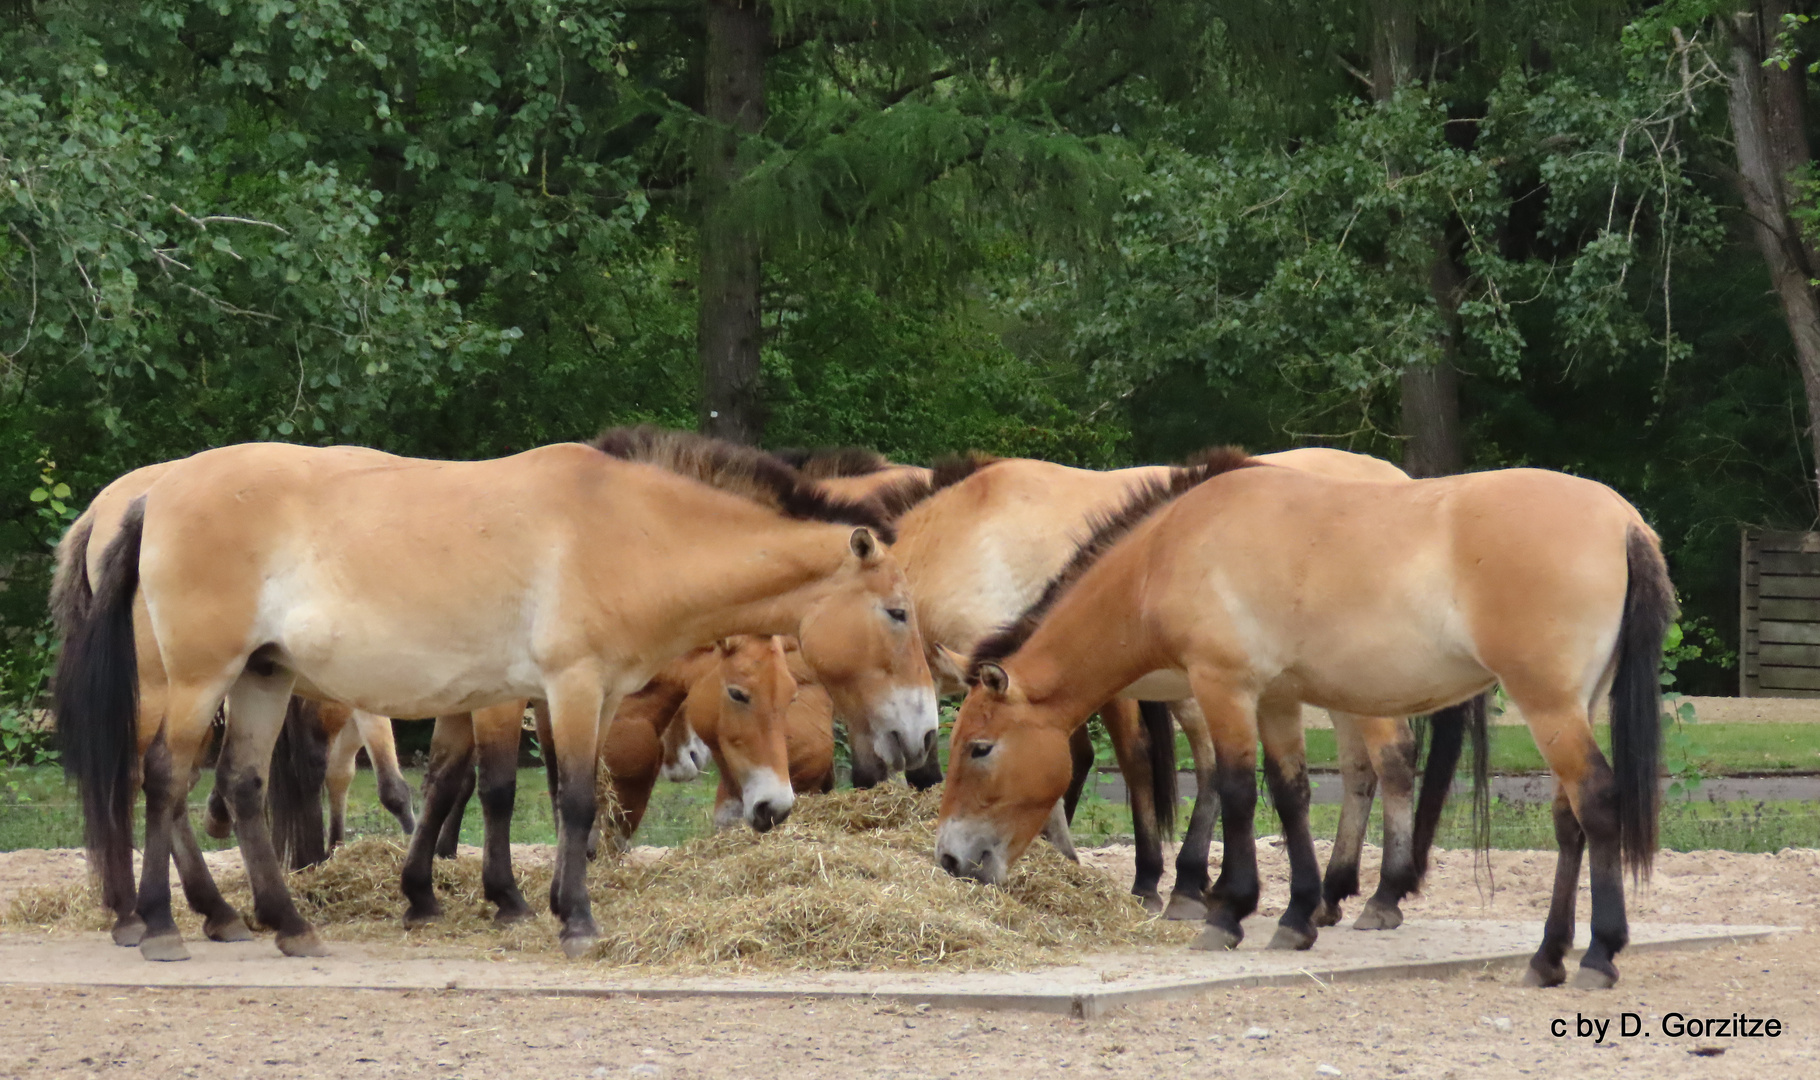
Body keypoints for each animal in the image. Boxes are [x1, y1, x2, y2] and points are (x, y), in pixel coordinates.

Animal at [56, 426, 939, 954]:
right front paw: (570, 917)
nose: (924, 736)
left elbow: (525, 791)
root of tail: (147, 497)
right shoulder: (566, 688)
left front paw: (517, 898)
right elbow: (561, 798)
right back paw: (161, 920)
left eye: (792, 689)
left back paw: (280, 922)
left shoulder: (576, 698)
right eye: (898, 612)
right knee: (162, 780)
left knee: (237, 787)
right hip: (196, 680)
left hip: (262, 680)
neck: (629, 531)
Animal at [946, 449, 1667, 990]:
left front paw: (1227, 914)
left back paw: (1597, 955)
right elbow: (1288, 792)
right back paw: (1546, 957)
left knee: (1597, 802)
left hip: (1547, 705)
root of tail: (1622, 520)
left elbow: (1237, 791)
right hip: (1576, 704)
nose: (952, 859)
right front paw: (1297, 916)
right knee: (1569, 821)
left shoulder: (1224, 687)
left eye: (980, 748)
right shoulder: (1277, 698)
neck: (1175, 545)